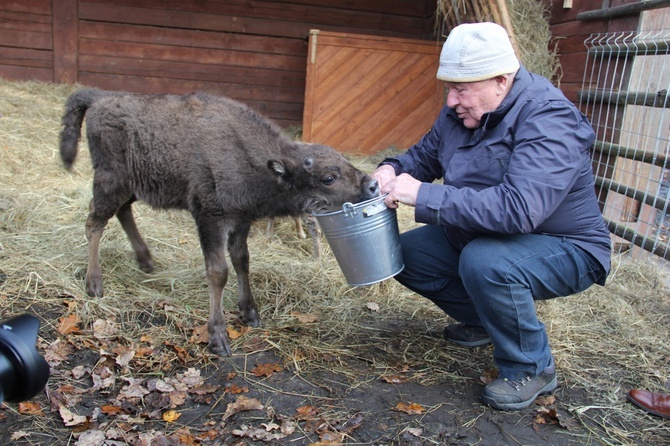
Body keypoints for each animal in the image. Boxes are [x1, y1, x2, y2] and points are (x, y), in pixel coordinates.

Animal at [60, 89, 380, 358]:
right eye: (329, 177)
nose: (372, 184)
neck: (253, 159)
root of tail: (100, 98)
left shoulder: (240, 221)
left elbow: (242, 260)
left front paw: (250, 313)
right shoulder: (210, 219)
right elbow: (218, 272)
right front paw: (218, 337)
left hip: (131, 186)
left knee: (122, 212)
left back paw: (146, 260)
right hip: (110, 181)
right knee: (94, 221)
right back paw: (94, 284)